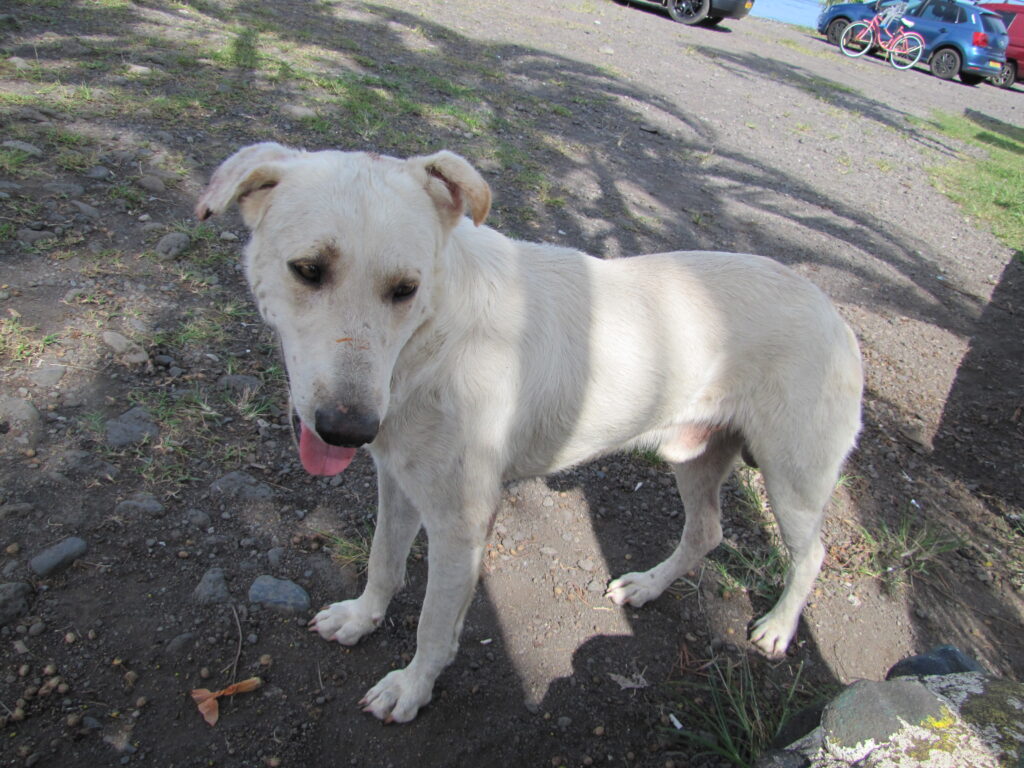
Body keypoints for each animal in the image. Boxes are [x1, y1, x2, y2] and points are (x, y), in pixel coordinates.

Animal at [193, 145, 864, 729]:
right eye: (308, 270)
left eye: (405, 289)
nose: (348, 428)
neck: (433, 342)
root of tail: (832, 309)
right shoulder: (400, 482)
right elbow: (383, 564)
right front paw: (362, 618)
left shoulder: (461, 524)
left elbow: (433, 626)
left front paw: (412, 687)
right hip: (694, 453)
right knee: (706, 531)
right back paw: (647, 585)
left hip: (793, 480)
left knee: (809, 555)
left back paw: (777, 626)